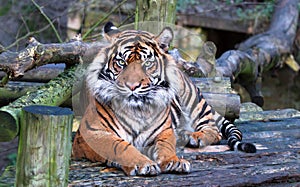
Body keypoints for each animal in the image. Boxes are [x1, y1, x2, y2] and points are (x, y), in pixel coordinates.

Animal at [72, 22, 255, 177]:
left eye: (147, 63)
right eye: (122, 63)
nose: (132, 86)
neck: (137, 110)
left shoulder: (163, 132)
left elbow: (166, 147)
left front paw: (174, 162)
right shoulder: (91, 134)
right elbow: (120, 146)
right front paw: (143, 163)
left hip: (192, 100)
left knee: (214, 129)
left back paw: (196, 137)